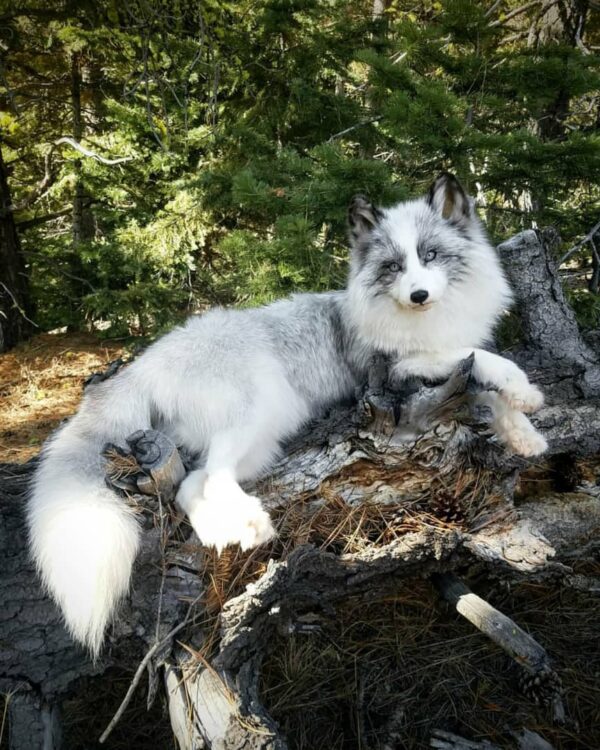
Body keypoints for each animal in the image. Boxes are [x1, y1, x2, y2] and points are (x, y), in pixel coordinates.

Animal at [27, 173, 547, 656]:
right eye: (394, 267)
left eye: (432, 255)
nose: (418, 295)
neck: (425, 323)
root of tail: (144, 364)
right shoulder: (396, 369)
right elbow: (487, 360)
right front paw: (522, 387)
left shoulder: (448, 375)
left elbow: (487, 391)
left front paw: (525, 431)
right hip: (258, 406)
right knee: (210, 478)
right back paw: (251, 525)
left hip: (261, 440)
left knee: (189, 486)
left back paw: (225, 531)